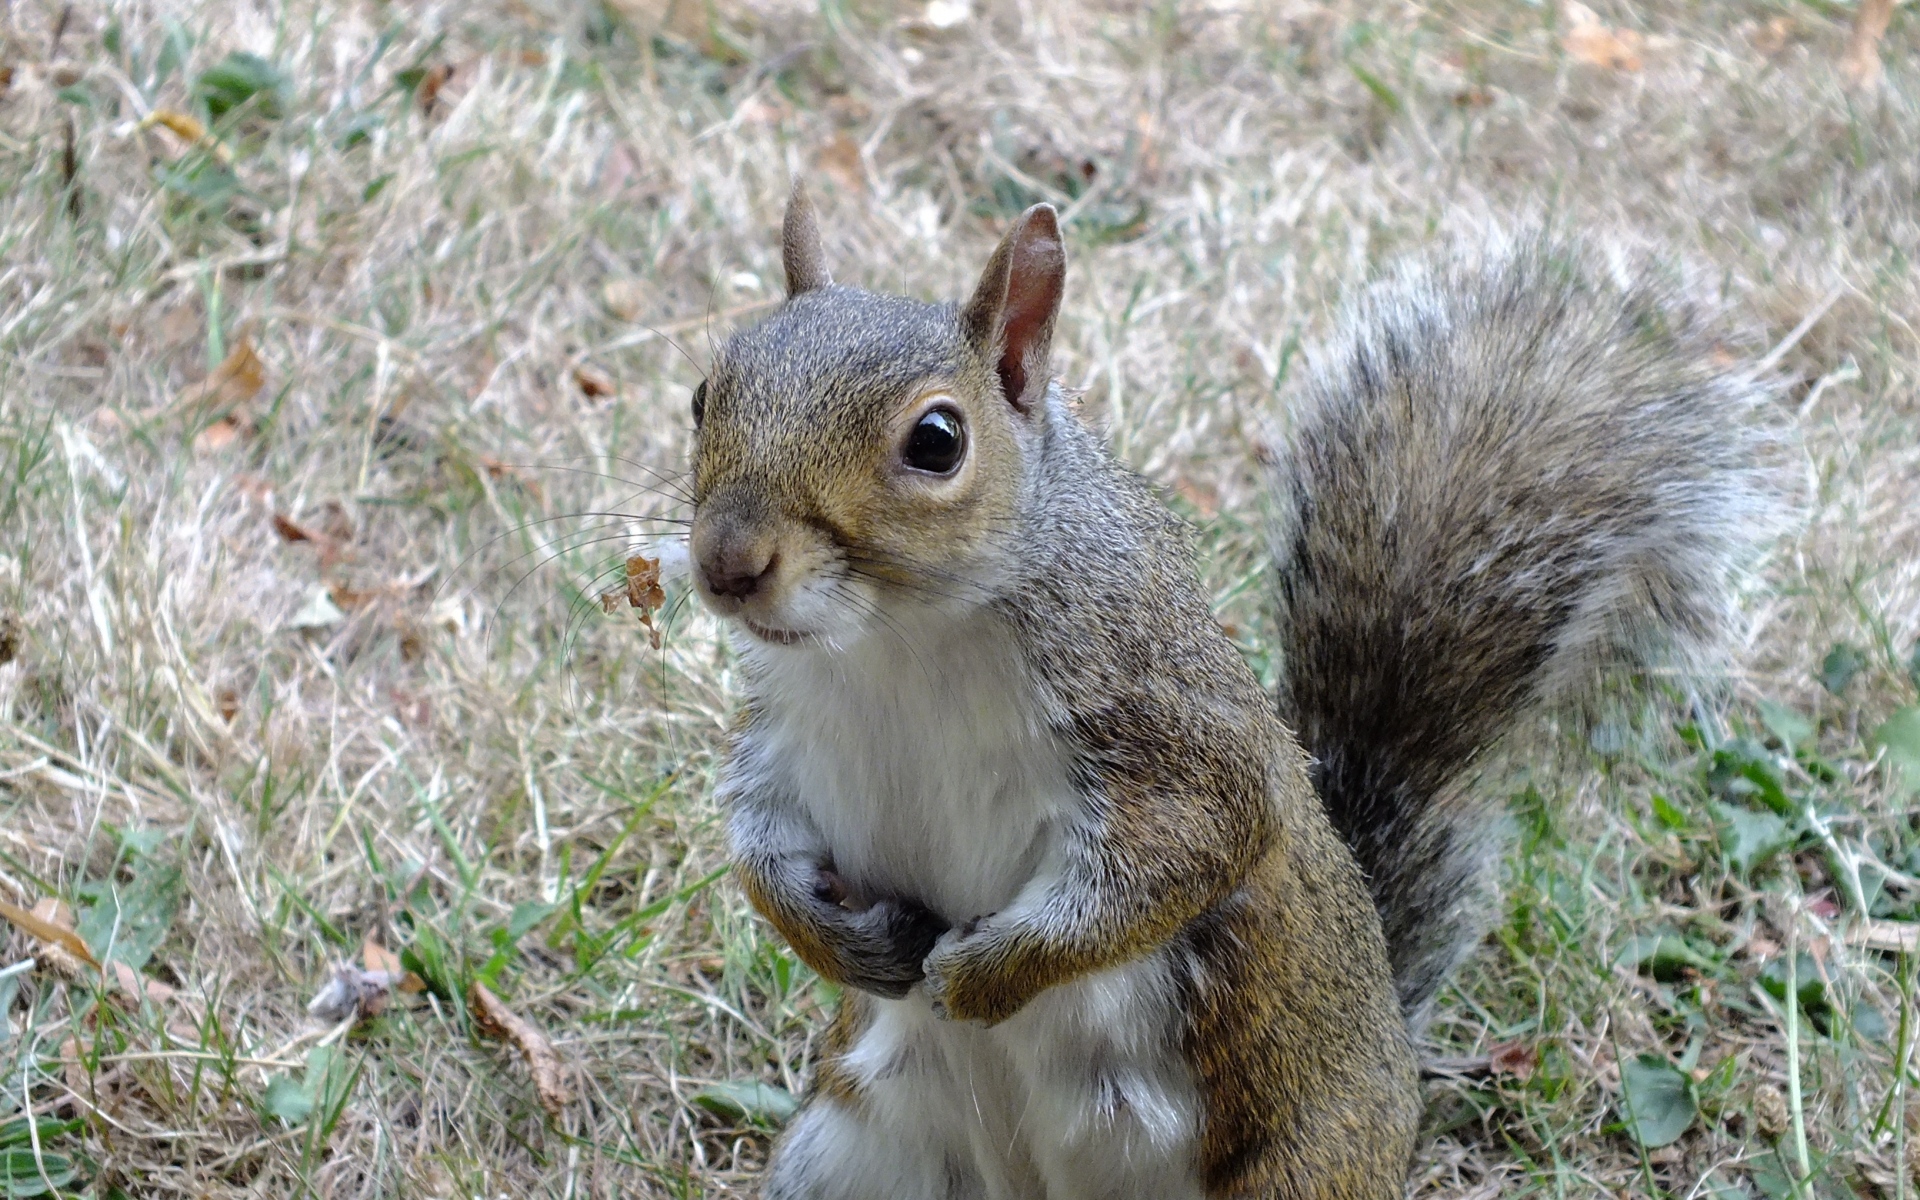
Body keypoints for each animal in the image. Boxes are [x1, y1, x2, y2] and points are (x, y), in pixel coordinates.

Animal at [683, 182, 1776, 1200]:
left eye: (938, 441)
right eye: (703, 393)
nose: (728, 562)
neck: (894, 643)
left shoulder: (1166, 728)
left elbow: (1183, 857)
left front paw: (987, 974)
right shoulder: (785, 736)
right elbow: (758, 843)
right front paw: (835, 940)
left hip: (1288, 1171)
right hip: (850, 1148)